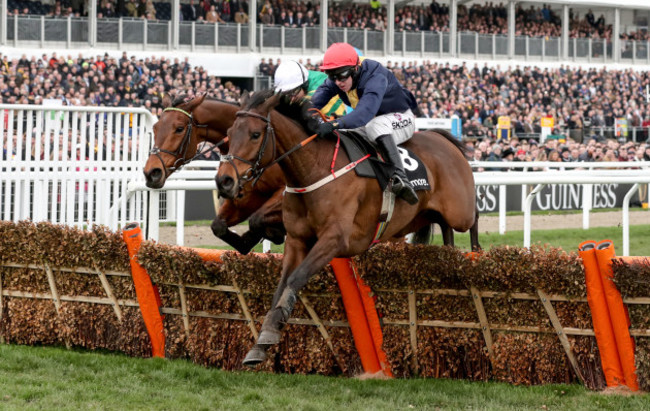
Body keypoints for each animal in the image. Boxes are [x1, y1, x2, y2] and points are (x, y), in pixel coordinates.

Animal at [144, 94, 286, 254]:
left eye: (179, 129)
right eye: (155, 128)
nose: (151, 172)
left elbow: (258, 219)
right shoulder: (246, 196)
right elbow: (219, 226)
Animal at [215, 91, 478, 366]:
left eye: (255, 134)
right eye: (230, 133)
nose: (224, 181)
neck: (313, 170)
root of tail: (443, 138)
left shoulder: (335, 239)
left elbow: (297, 277)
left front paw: (271, 330)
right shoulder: (297, 239)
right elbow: (282, 283)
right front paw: (261, 342)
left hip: (460, 210)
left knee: (473, 217)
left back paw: (475, 250)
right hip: (422, 215)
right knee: (444, 228)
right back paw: (450, 254)